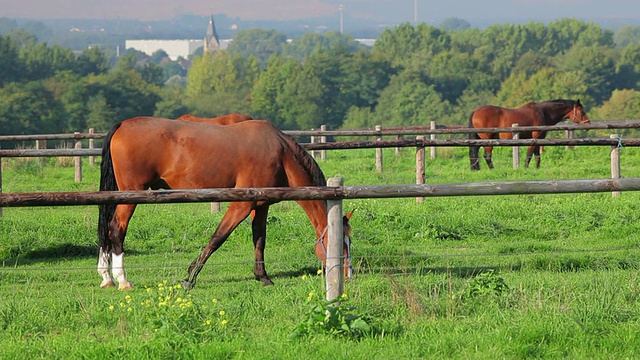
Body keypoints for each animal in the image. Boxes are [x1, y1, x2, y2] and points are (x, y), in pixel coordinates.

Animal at [97, 116, 352, 292]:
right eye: (341, 243)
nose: (348, 274)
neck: (279, 153)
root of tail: (122, 124)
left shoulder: (260, 205)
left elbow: (259, 240)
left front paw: (263, 276)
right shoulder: (240, 206)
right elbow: (217, 238)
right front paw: (190, 277)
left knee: (107, 231)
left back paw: (107, 277)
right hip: (130, 196)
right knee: (116, 229)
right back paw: (122, 280)